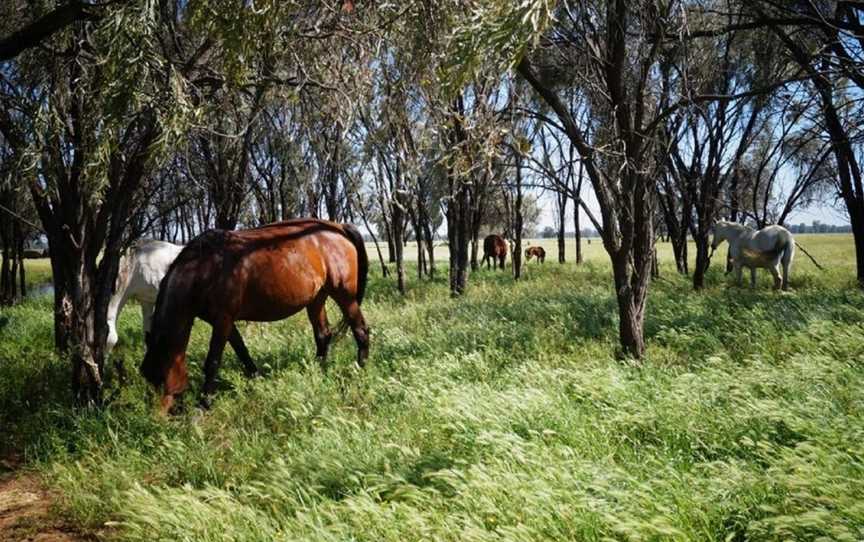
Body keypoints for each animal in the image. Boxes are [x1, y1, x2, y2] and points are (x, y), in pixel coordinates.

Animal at [141, 219, 368, 414]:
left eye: (161, 379)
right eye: (147, 377)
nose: (155, 419)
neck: (206, 267)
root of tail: (339, 227)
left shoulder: (223, 320)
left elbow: (213, 361)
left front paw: (203, 405)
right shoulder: (223, 321)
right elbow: (242, 350)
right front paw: (257, 379)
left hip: (345, 296)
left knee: (361, 331)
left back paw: (359, 371)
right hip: (316, 298)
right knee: (323, 335)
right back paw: (317, 371)